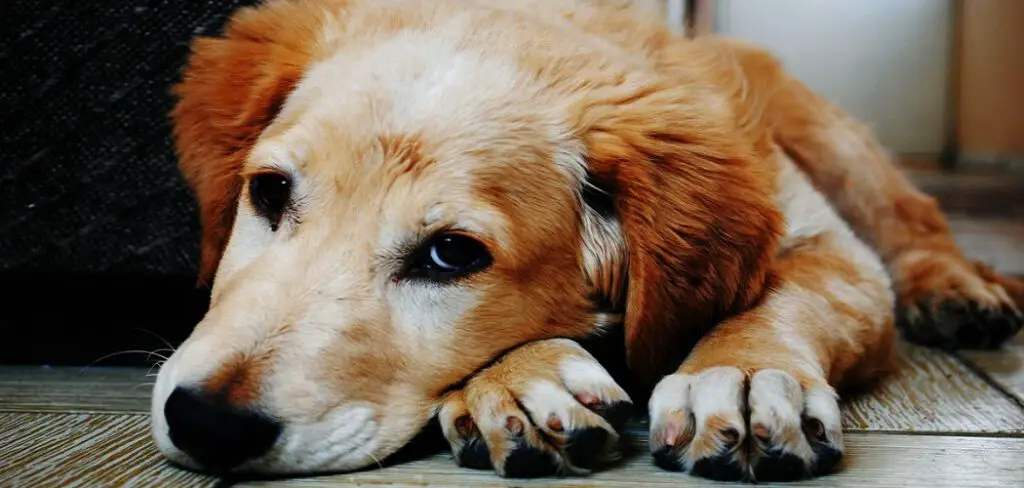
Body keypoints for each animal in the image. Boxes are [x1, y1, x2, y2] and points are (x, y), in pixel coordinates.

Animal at [151, 0, 1024, 478]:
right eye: (269, 192)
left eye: (451, 255)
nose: (205, 423)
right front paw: (521, 382)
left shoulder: (831, 251)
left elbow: (782, 301)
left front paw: (741, 374)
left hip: (833, 141)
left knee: (915, 222)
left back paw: (958, 291)